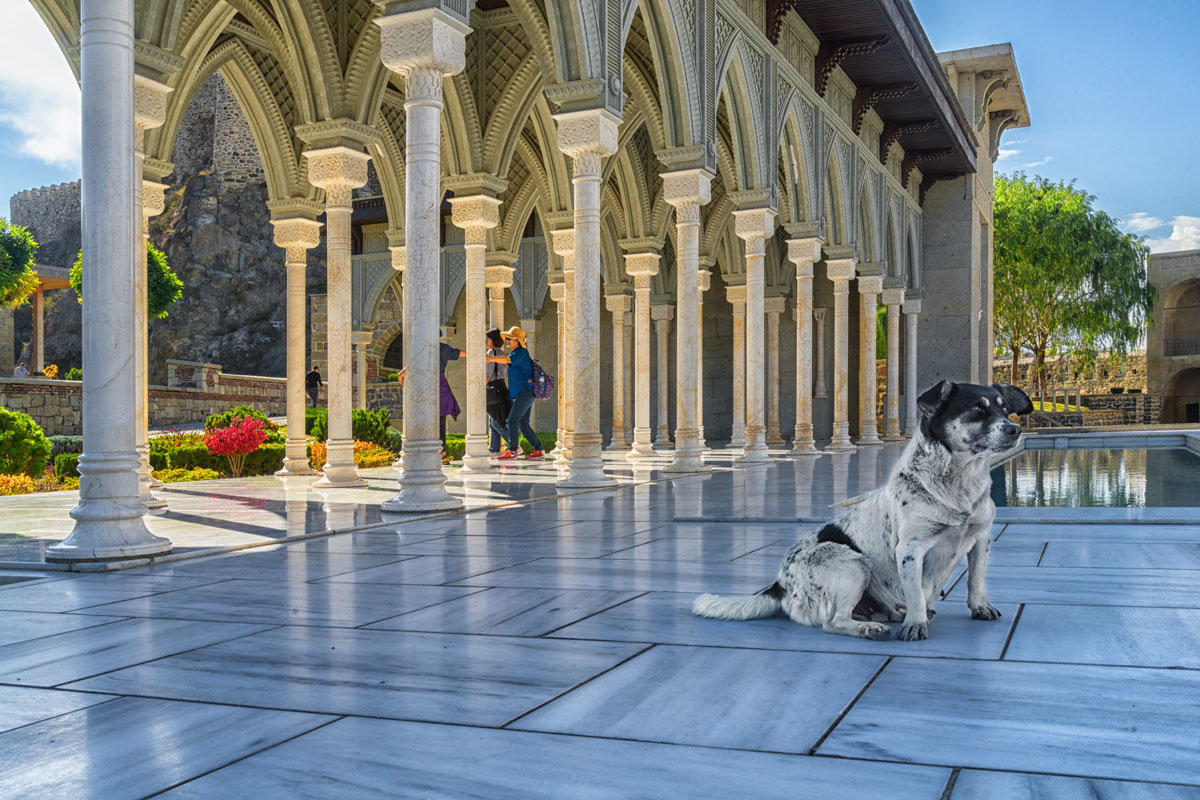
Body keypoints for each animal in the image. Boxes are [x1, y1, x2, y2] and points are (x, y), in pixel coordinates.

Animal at [696, 381, 1032, 642]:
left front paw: (979, 607)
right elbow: (915, 594)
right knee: (833, 622)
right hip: (853, 565)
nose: (1016, 429)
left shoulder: (980, 540)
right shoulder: (910, 550)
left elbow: (976, 580)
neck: (960, 485)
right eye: (977, 410)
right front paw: (916, 623)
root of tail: (779, 585)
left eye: (1005, 410)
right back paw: (871, 628)